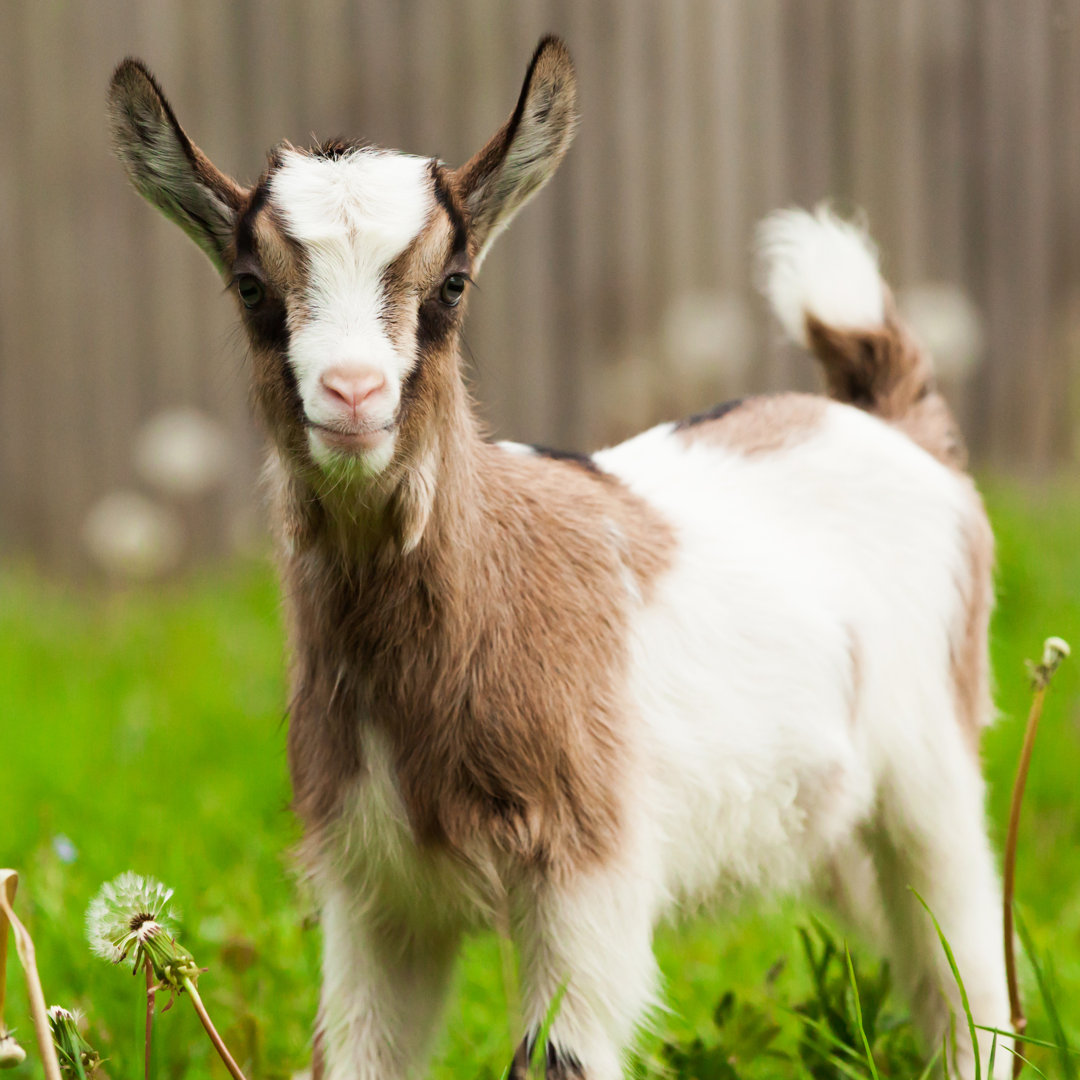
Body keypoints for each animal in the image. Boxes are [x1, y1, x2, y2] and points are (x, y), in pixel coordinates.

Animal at [107, 33, 1002, 1080]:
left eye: (452, 284)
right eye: (251, 287)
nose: (353, 392)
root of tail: (887, 420)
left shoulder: (585, 869)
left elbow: (557, 1055)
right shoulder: (375, 891)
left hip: (932, 772)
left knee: (966, 964)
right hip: (831, 822)